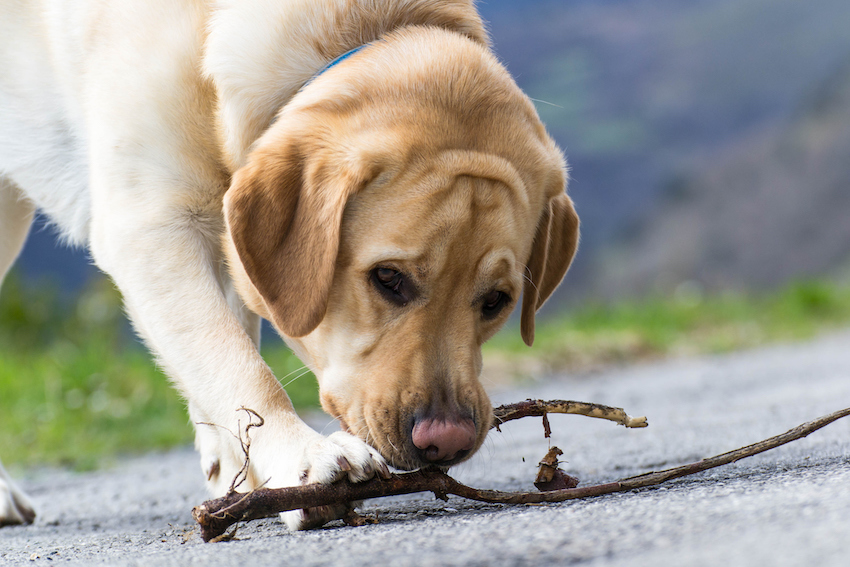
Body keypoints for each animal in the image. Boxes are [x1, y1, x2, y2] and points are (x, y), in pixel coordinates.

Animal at [0, 1, 576, 532]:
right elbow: (236, 362)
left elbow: (229, 345)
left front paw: (240, 469)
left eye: (497, 301)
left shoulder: (227, 237)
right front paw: (302, 459)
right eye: (388, 278)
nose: (446, 441)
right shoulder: (151, 227)